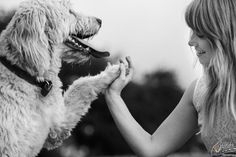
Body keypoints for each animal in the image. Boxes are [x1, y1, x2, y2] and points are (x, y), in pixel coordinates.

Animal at [0, 0, 121, 157]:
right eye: (70, 11)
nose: (100, 20)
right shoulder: (10, 148)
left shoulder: (57, 124)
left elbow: (81, 85)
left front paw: (117, 70)